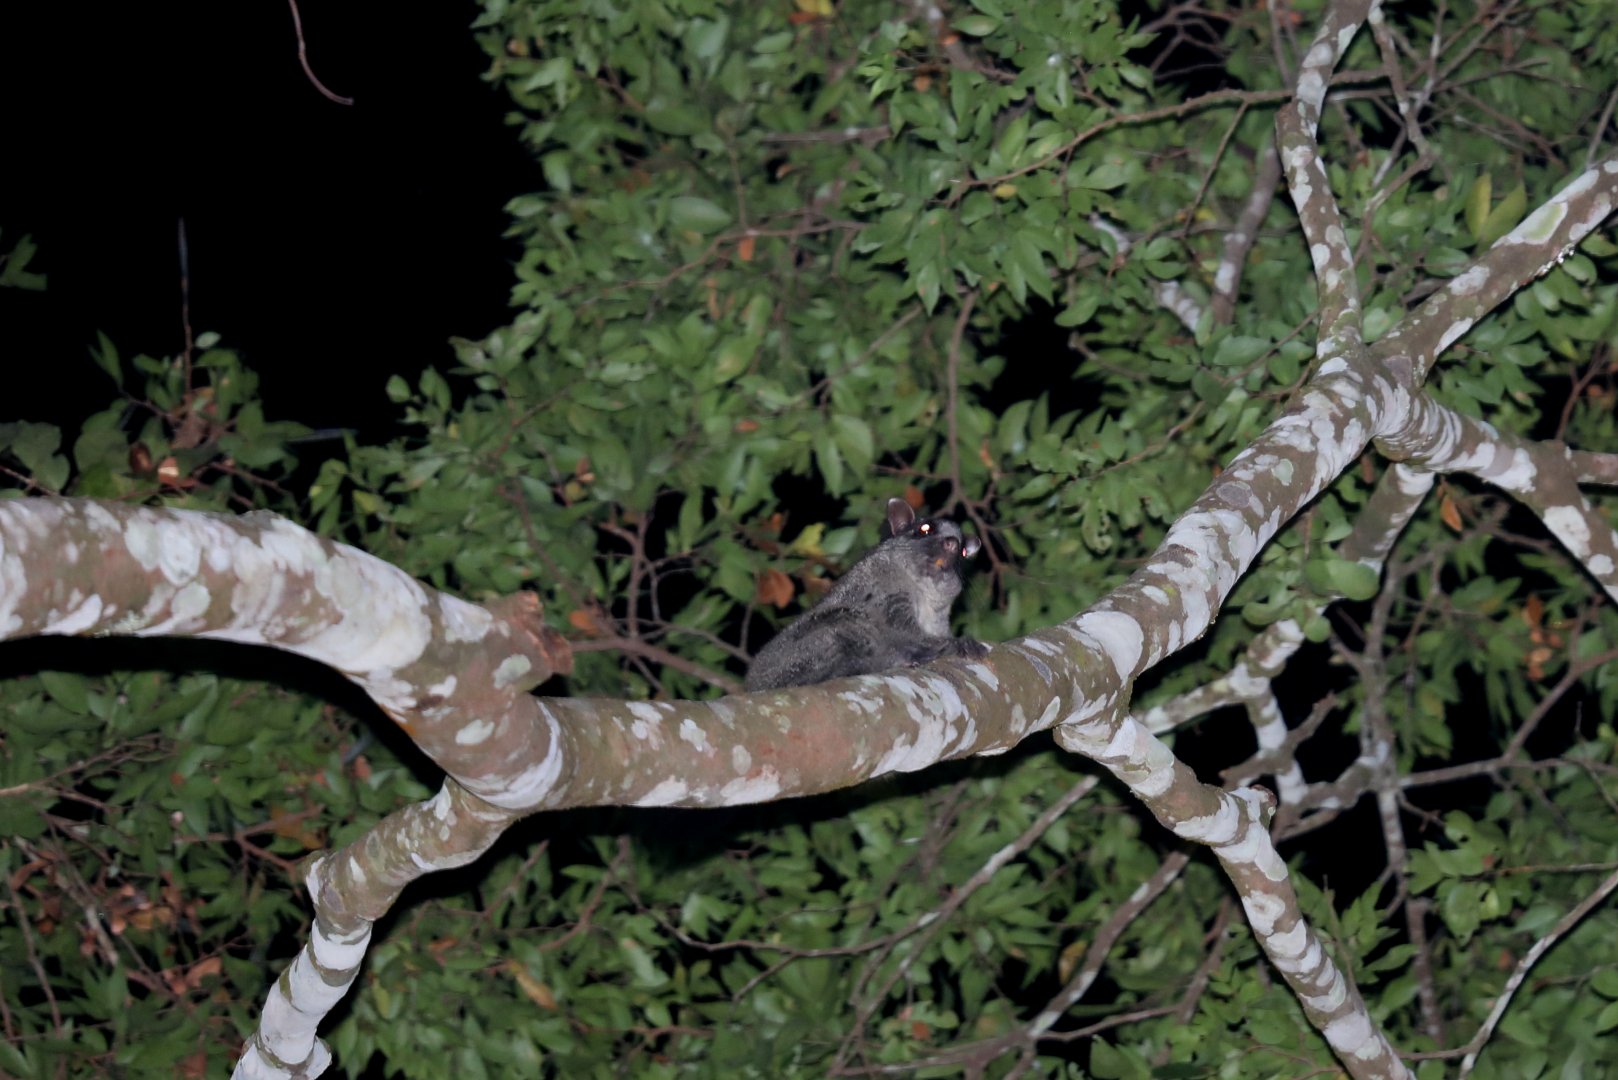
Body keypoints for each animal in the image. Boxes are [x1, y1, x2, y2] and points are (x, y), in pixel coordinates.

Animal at [745, 498, 989, 691]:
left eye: (963, 551)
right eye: (925, 529)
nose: (952, 543)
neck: (922, 588)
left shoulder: (938, 617)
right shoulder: (883, 592)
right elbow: (904, 631)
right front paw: (957, 644)